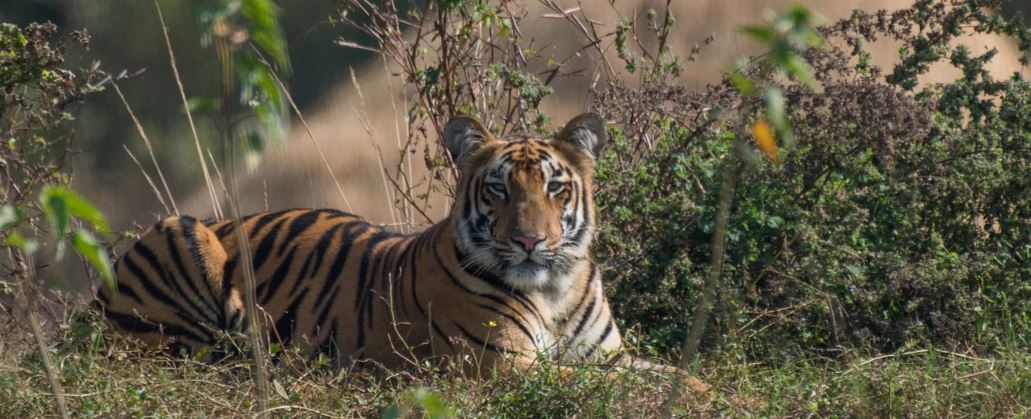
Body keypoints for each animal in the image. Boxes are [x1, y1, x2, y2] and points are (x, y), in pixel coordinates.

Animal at [96, 113, 707, 391]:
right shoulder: (504, 366)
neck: (554, 288)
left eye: (555, 188)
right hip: (182, 235)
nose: (530, 241)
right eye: (498, 190)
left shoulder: (607, 355)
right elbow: (605, 386)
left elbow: (676, 374)